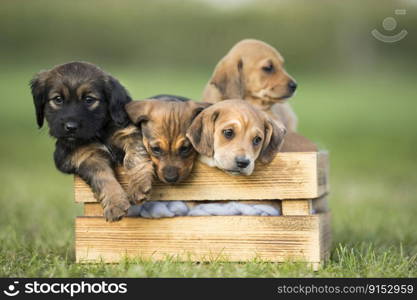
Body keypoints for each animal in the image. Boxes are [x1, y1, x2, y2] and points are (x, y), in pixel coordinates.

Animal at [30, 61, 149, 220]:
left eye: (89, 100)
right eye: (58, 99)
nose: (71, 127)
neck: (98, 133)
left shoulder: (128, 132)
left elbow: (133, 157)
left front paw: (139, 185)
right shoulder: (87, 156)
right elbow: (102, 177)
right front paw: (115, 204)